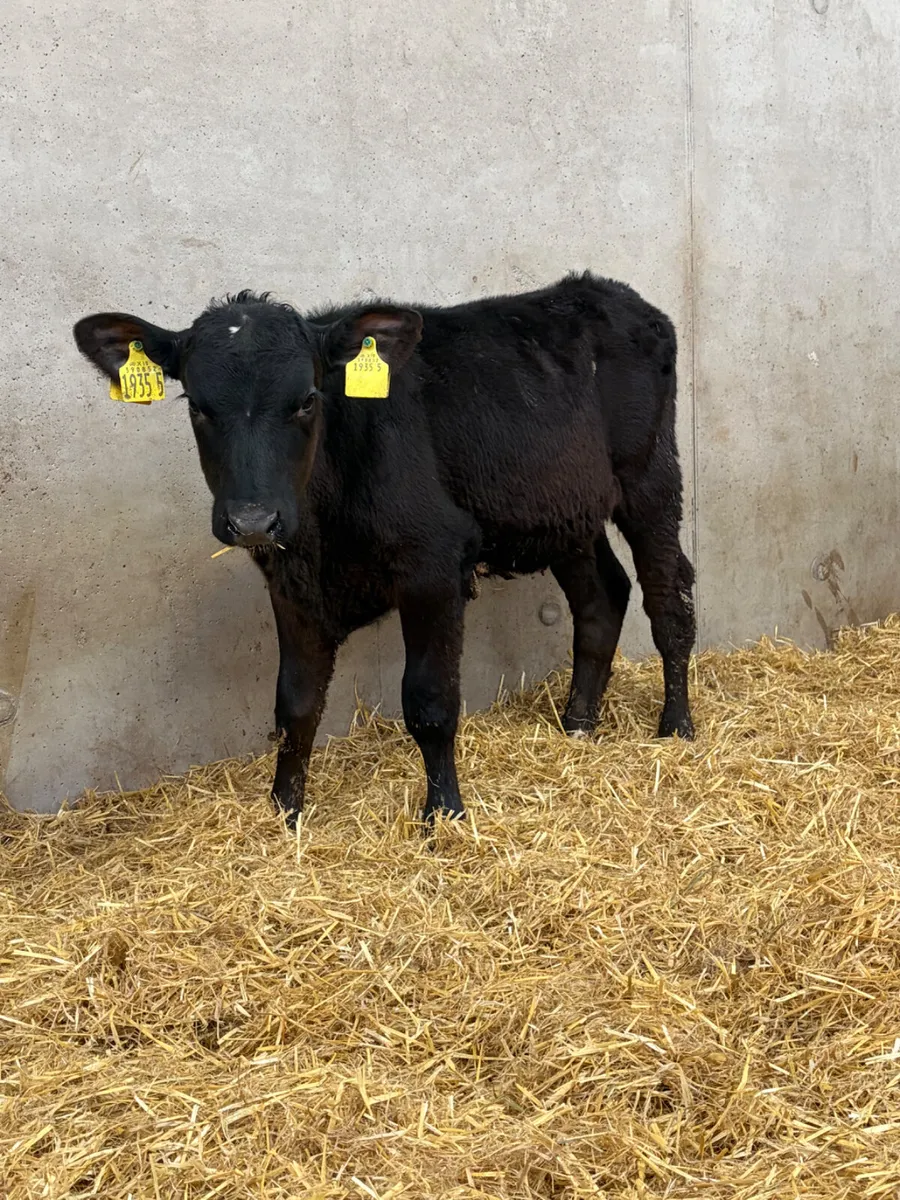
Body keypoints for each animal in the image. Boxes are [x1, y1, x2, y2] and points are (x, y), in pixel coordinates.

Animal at [73, 272, 696, 827]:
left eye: (306, 400)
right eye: (197, 406)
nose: (253, 519)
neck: (322, 533)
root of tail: (612, 294)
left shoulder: (434, 564)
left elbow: (429, 702)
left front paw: (444, 814)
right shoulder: (290, 581)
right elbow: (295, 704)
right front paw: (284, 813)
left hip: (650, 478)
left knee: (669, 600)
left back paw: (676, 728)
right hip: (564, 508)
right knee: (601, 597)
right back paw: (577, 726)